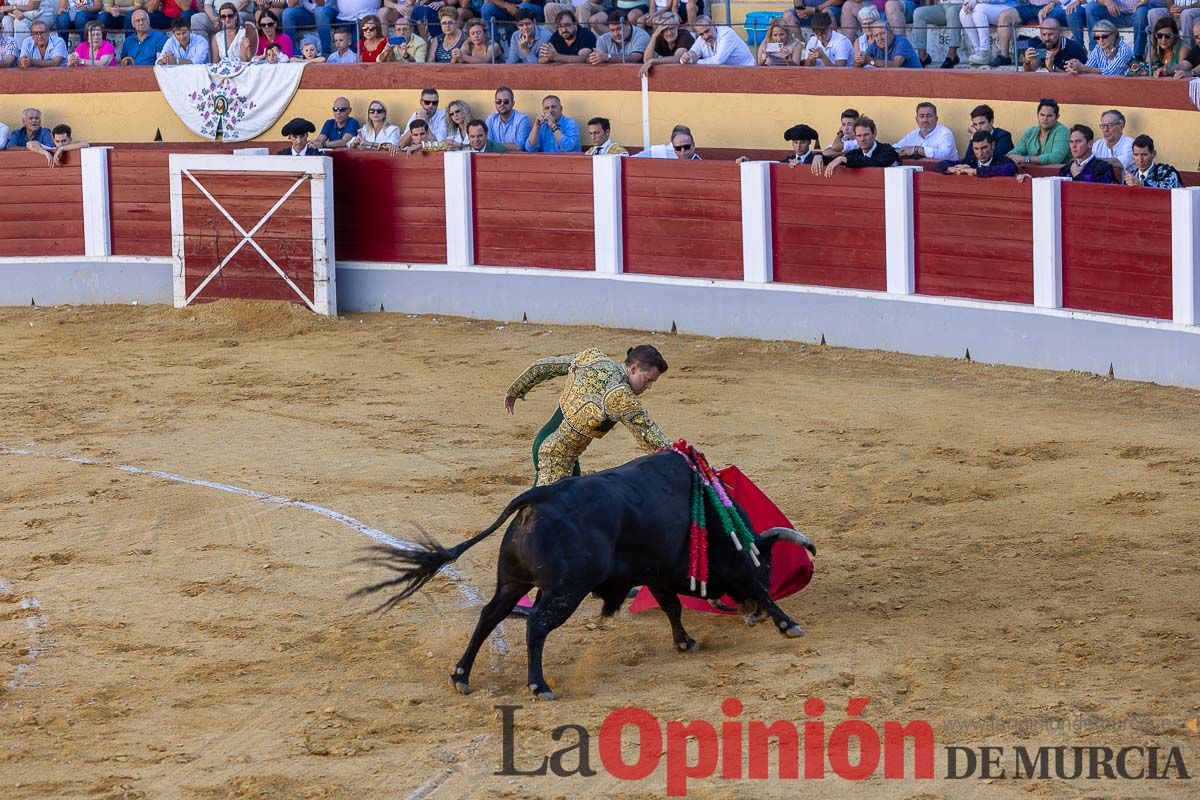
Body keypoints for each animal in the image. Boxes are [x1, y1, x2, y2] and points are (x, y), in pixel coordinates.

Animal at [350, 450, 811, 700]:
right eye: (768, 565)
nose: (749, 614)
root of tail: (538, 497)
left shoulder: (656, 572)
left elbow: (672, 607)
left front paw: (685, 642)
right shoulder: (695, 569)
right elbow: (744, 591)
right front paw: (787, 623)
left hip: (513, 581)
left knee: (489, 616)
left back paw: (462, 676)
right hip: (565, 590)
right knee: (535, 625)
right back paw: (539, 686)